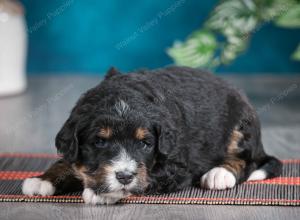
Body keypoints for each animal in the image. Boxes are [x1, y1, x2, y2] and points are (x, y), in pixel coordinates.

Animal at [21, 65, 282, 205]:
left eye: (145, 144)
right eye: (99, 142)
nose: (124, 176)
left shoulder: (176, 167)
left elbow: (147, 177)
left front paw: (103, 194)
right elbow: (68, 161)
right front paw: (43, 180)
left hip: (241, 125)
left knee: (247, 160)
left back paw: (219, 174)